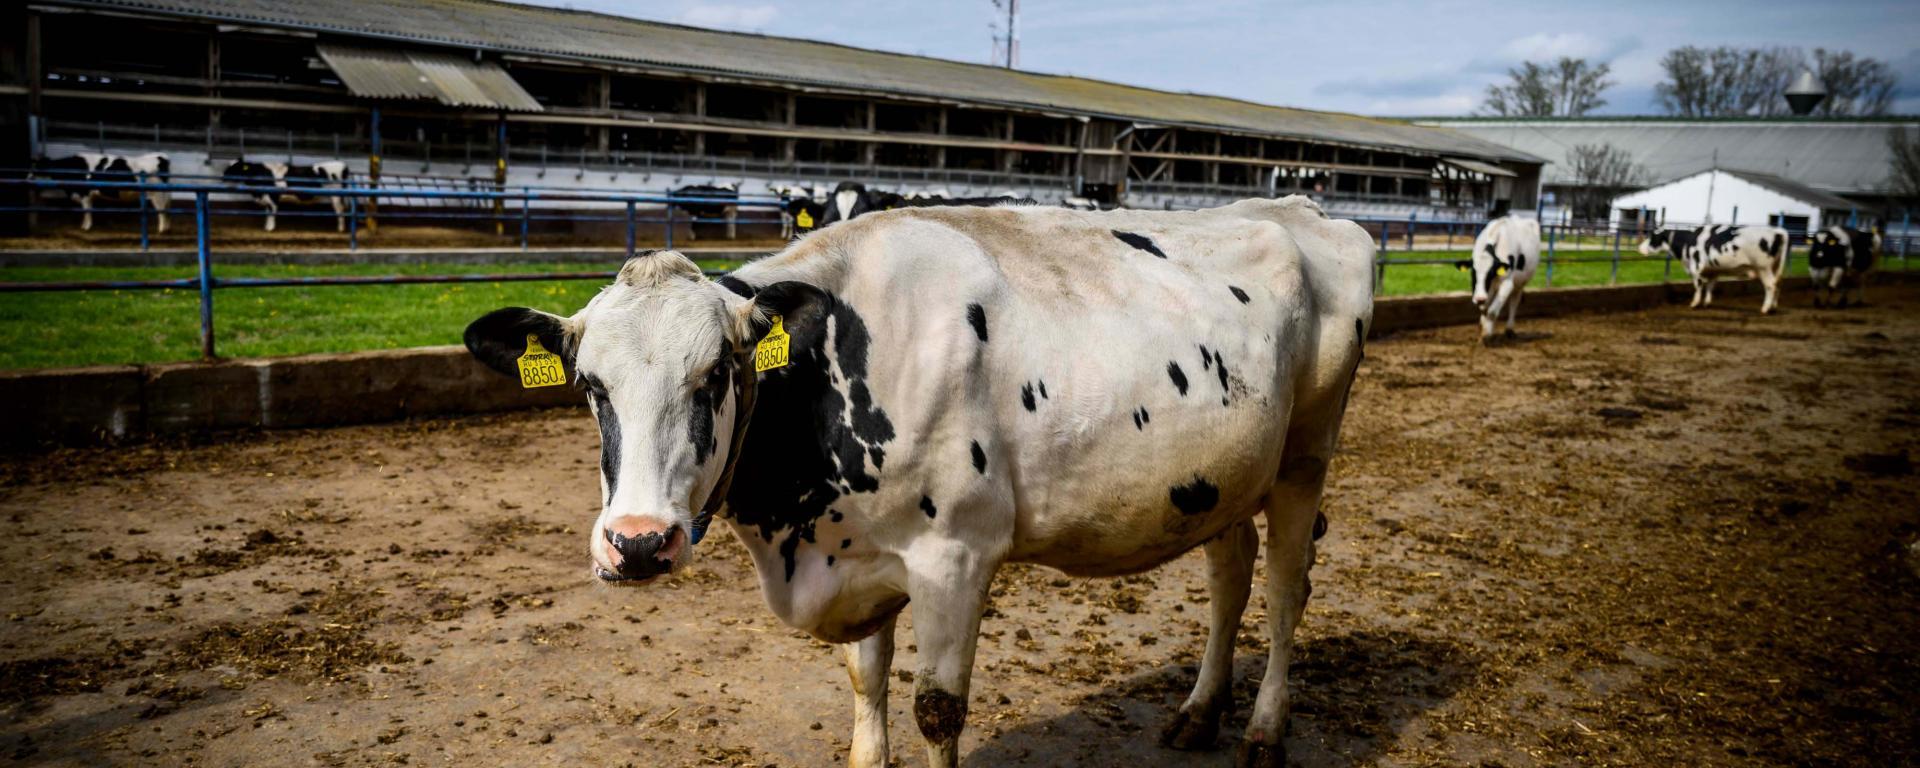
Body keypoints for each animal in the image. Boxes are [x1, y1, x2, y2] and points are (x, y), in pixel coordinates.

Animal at [29, 151, 172, 232]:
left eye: (38, 168)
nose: (28, 178)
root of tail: (160, 156)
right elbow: (87, 210)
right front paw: (84, 225)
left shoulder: (85, 193)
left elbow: (86, 210)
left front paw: (86, 228)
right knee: (165, 208)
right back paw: (166, 228)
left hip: (156, 193)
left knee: (161, 210)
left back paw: (162, 230)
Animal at [221, 154, 353, 229]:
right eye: (228, 166)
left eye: (235, 167)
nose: (222, 177)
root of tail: (342, 164)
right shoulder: (266, 198)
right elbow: (267, 213)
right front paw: (267, 227)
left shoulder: (273, 197)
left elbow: (272, 213)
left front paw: (270, 228)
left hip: (336, 195)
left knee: (340, 210)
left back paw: (340, 229)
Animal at [456, 194, 1374, 764]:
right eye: (588, 385)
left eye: (716, 374)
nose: (639, 544)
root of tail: (1304, 211)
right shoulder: (857, 555)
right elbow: (867, 691)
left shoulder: (954, 559)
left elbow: (937, 712)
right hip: (1224, 473)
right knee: (1230, 574)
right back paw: (1198, 713)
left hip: (1307, 455)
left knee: (1286, 588)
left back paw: (1264, 731)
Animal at [1451, 210, 1543, 341]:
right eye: (1473, 272)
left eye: (1491, 272)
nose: (1479, 298)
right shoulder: (1484, 288)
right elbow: (1484, 308)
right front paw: (1483, 329)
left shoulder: (1507, 283)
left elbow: (1492, 312)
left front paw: (1486, 335)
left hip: (1520, 284)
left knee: (1514, 301)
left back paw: (1509, 329)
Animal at [1643, 224, 1789, 314]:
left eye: (1652, 237)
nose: (1640, 247)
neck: (1688, 241)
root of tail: (1777, 231)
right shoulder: (1713, 271)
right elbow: (1710, 286)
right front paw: (1707, 303)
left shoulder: (1695, 267)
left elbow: (1698, 286)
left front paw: (1694, 303)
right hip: (1775, 267)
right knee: (1778, 283)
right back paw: (1773, 307)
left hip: (1763, 267)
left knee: (1770, 286)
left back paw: (1765, 309)